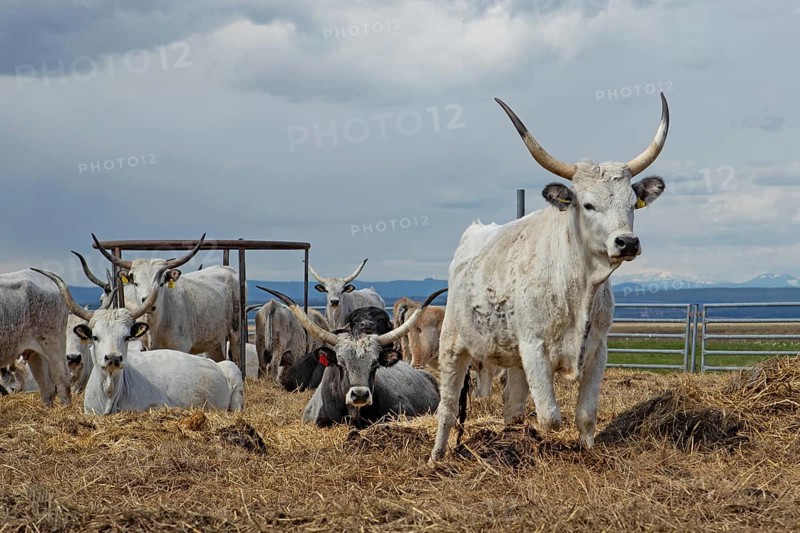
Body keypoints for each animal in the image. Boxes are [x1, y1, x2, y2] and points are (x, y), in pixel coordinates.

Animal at [92, 234, 243, 364]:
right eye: (135, 282)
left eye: (161, 282)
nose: (149, 302)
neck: (157, 324)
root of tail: (227, 269)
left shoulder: (181, 348)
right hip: (213, 341)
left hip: (236, 332)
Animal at [430, 94, 669, 462]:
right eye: (588, 205)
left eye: (632, 203)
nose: (627, 242)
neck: (579, 286)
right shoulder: (535, 349)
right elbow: (550, 417)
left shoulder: (598, 350)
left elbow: (585, 414)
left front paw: (587, 454)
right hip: (454, 344)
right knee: (447, 408)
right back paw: (436, 458)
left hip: (513, 357)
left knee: (512, 406)